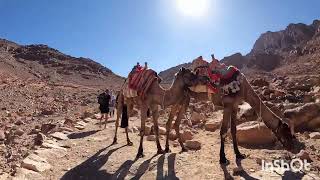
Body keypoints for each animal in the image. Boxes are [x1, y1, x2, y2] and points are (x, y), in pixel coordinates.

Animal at [165, 69, 296, 164]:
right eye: (286, 131)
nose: (292, 146)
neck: (244, 89)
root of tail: (177, 74)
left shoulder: (234, 106)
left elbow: (233, 130)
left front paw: (239, 154)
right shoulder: (227, 105)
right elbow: (223, 130)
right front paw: (222, 158)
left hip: (185, 98)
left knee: (175, 122)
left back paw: (182, 148)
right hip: (179, 98)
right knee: (171, 121)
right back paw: (167, 149)